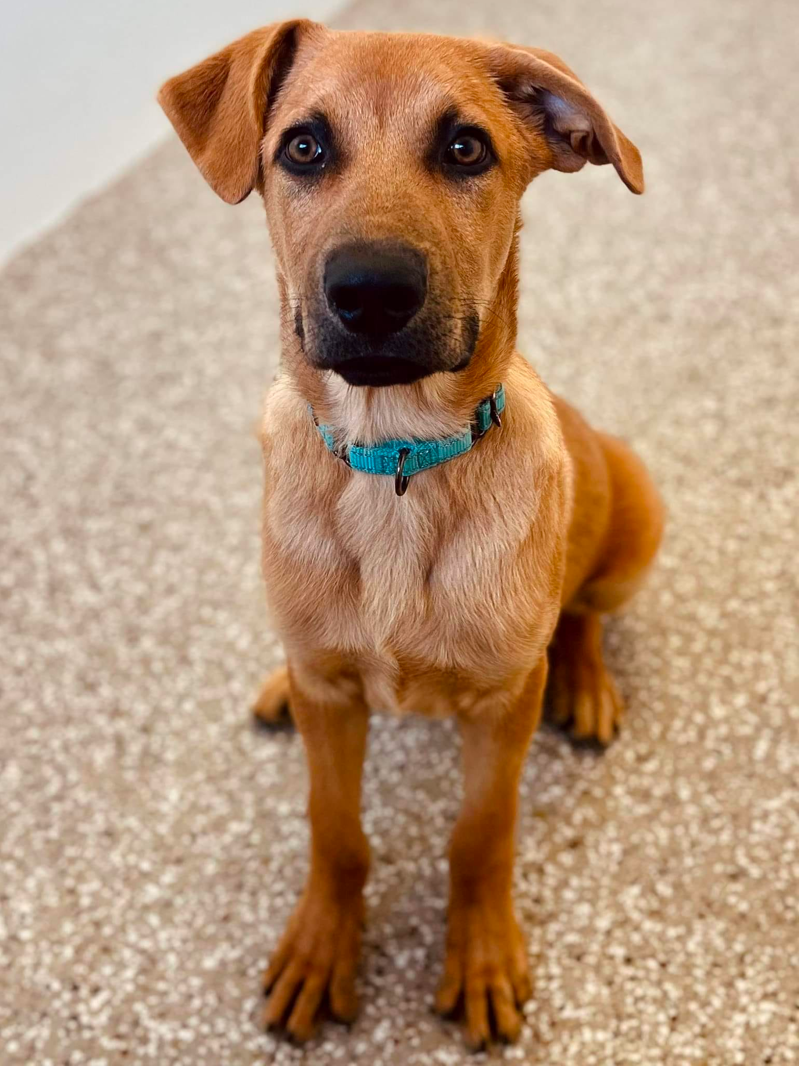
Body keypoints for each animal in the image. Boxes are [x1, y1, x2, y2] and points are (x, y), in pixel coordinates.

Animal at [157, 25, 665, 1049]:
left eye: (465, 148)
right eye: (303, 146)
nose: (372, 292)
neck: (394, 463)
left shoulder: (504, 704)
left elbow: (479, 834)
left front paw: (481, 955)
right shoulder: (332, 700)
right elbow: (335, 830)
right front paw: (322, 945)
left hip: (636, 515)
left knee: (583, 613)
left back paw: (588, 680)